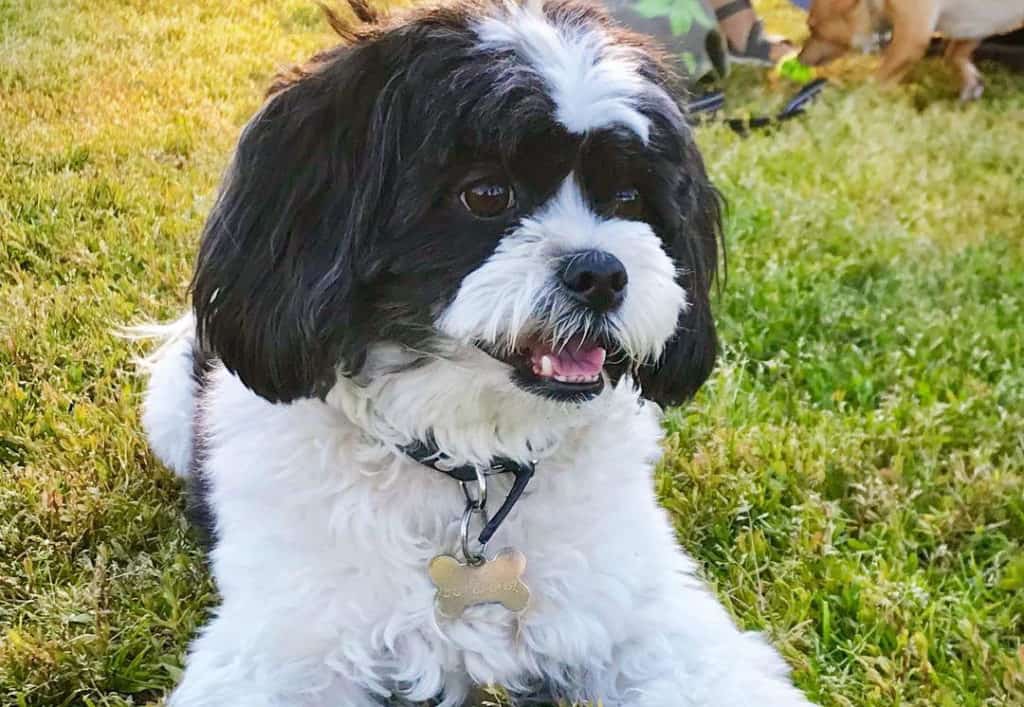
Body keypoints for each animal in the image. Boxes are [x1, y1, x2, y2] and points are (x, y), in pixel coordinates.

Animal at [140, 2, 811, 700]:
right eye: (486, 194)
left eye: (629, 198)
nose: (601, 272)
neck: (474, 459)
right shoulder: (281, 648)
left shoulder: (644, 605)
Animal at [798, 0, 1024, 99]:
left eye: (812, 26)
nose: (799, 58)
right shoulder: (974, 26)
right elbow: (953, 54)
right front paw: (972, 84)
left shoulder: (911, 40)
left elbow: (873, 82)